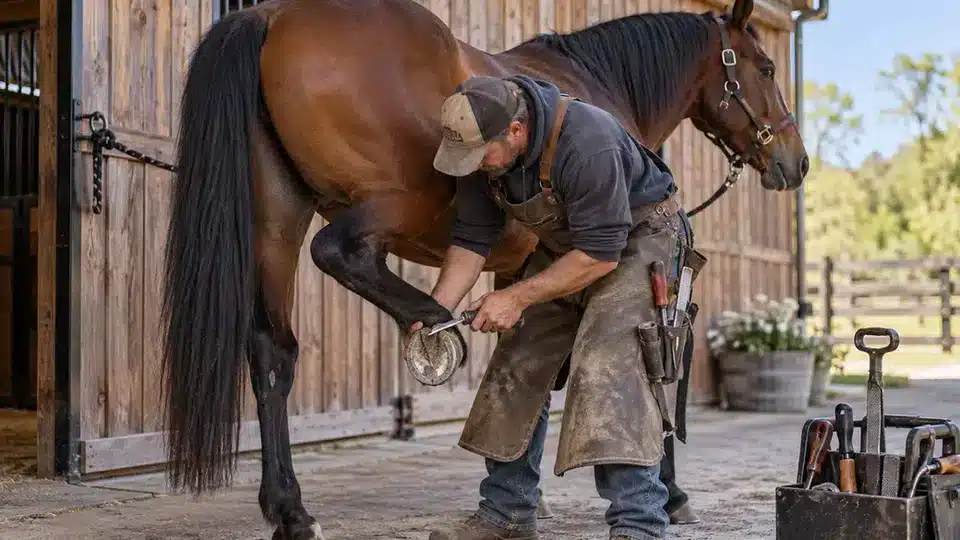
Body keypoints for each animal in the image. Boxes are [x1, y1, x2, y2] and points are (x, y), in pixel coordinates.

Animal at [160, 0, 808, 538]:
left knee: (274, 353)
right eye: (767, 68)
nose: (794, 162)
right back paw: (430, 320)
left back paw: (291, 511)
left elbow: (527, 370)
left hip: (278, 219)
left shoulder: (515, 266)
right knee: (339, 252)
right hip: (398, 199)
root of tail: (270, 15)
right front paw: (669, 493)